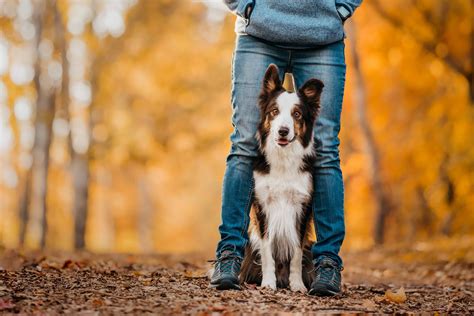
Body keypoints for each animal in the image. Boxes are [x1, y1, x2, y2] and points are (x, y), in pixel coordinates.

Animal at [239, 63, 324, 292]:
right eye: (274, 112)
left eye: (297, 114)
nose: (283, 131)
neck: (283, 160)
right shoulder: (263, 206)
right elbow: (267, 250)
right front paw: (268, 283)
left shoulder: (302, 207)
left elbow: (296, 251)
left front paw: (297, 284)